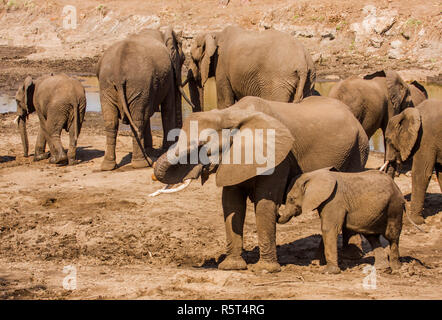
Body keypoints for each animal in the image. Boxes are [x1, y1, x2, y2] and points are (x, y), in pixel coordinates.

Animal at [96, 26, 188, 171]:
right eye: (183, 59)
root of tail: (118, 71)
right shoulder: (167, 76)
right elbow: (168, 107)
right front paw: (166, 148)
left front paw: (150, 149)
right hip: (137, 82)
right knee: (137, 119)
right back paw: (144, 163)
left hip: (107, 85)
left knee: (112, 121)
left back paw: (108, 166)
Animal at [154, 95, 368, 272]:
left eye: (201, 147)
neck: (231, 114)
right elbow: (231, 203)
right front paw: (231, 267)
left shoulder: (279, 157)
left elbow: (265, 203)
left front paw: (265, 270)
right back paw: (320, 260)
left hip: (357, 151)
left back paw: (350, 256)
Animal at [185, 25, 316, 110]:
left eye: (192, 56)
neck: (215, 34)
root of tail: (303, 63)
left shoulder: (221, 66)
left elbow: (224, 103)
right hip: (309, 78)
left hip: (279, 81)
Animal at [278, 168, 406, 276]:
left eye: (291, 199)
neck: (313, 176)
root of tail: (396, 186)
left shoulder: (334, 200)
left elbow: (328, 228)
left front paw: (328, 272)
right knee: (371, 236)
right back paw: (381, 268)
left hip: (394, 206)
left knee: (392, 236)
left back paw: (396, 269)